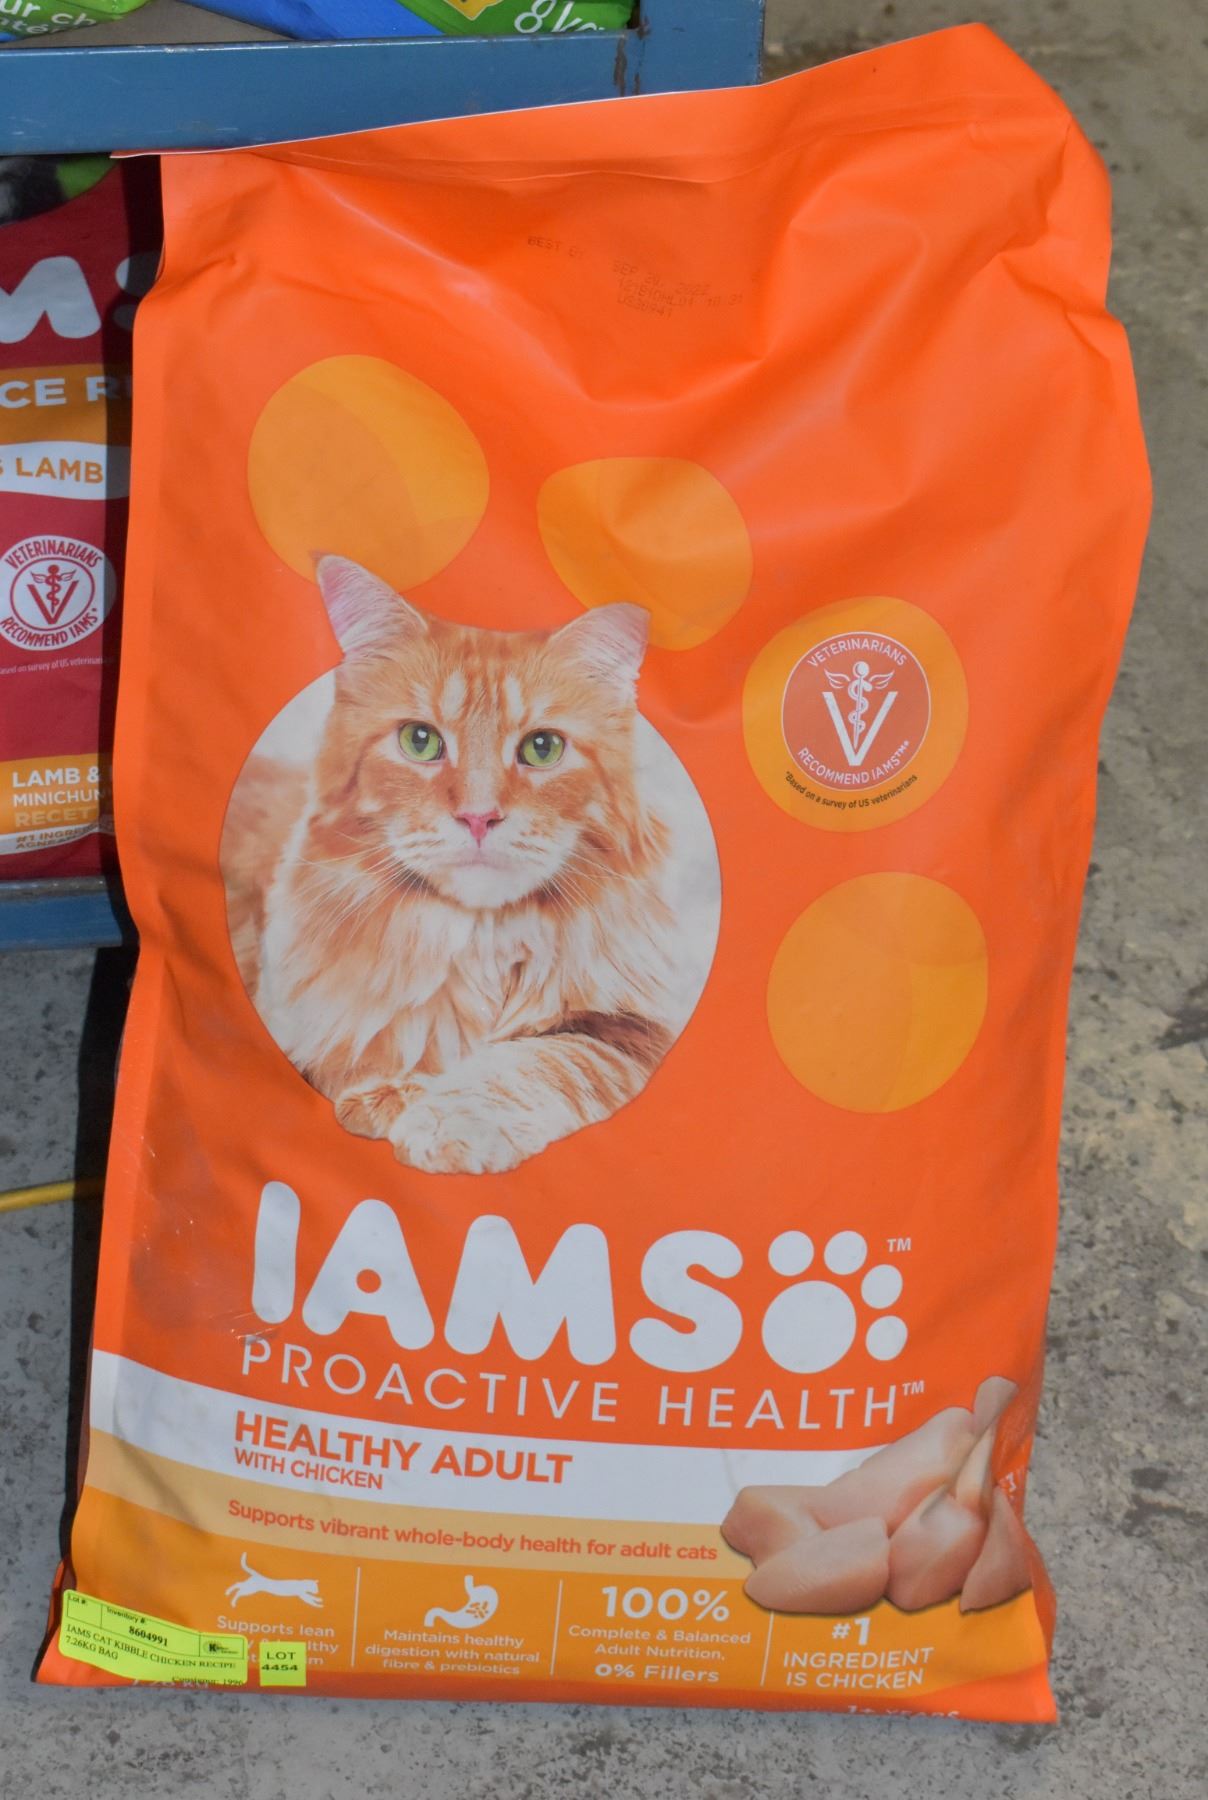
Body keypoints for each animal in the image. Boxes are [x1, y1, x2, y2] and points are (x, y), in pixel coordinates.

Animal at [221, 554, 715, 1176]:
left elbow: (533, 1064)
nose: (479, 817)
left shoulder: (627, 1034)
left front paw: (443, 1119)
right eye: (420, 741)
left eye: (543, 749)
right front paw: (386, 1097)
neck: (481, 945)